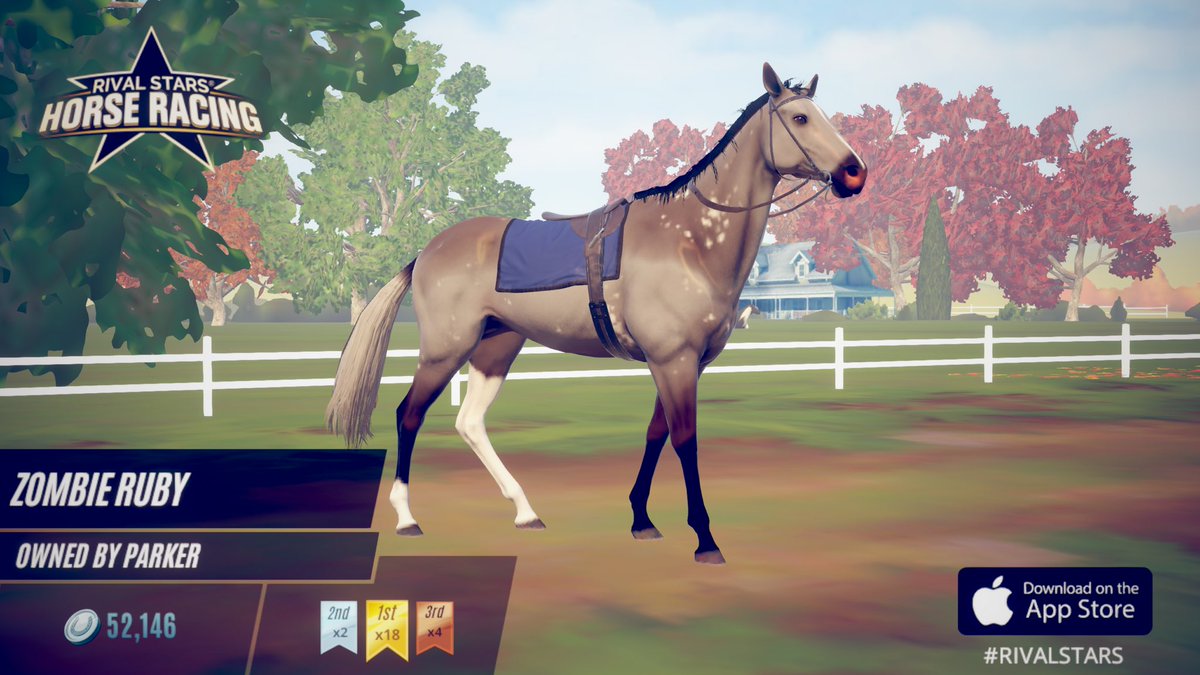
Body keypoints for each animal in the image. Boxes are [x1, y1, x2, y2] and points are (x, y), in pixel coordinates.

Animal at [326, 63, 867, 564]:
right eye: (800, 117)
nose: (854, 172)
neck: (689, 240)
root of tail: (426, 251)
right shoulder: (673, 359)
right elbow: (685, 439)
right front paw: (705, 538)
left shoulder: (680, 363)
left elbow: (656, 433)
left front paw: (642, 519)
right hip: (445, 350)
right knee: (409, 414)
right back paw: (407, 518)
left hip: (496, 346)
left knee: (470, 422)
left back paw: (525, 511)